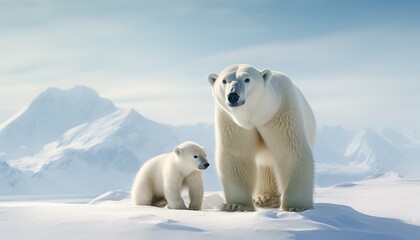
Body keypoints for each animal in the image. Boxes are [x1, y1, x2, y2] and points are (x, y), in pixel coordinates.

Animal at [208, 63, 316, 212]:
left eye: (247, 79)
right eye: (224, 81)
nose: (233, 96)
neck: (258, 115)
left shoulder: (281, 113)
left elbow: (291, 151)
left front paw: (295, 207)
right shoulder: (231, 121)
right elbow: (237, 155)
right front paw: (235, 205)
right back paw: (263, 198)